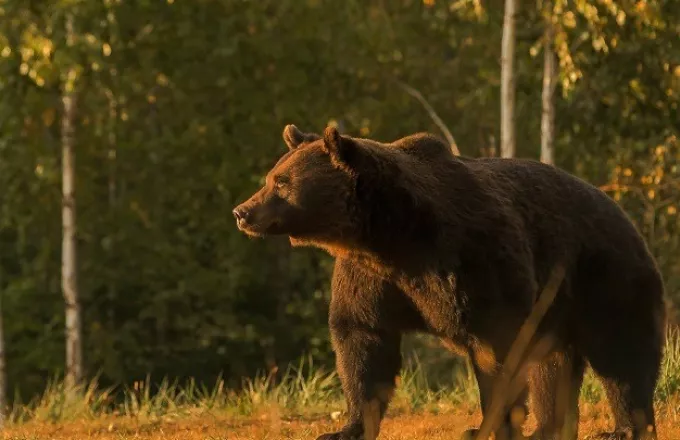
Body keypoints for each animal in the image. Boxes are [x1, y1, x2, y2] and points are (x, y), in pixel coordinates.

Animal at [232, 124, 664, 440]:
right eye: (271, 177)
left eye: (281, 182)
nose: (242, 211)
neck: (392, 237)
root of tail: (619, 209)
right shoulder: (370, 277)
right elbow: (363, 340)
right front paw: (346, 428)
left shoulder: (473, 259)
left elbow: (498, 348)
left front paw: (490, 425)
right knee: (554, 364)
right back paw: (549, 428)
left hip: (604, 276)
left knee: (622, 353)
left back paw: (625, 427)